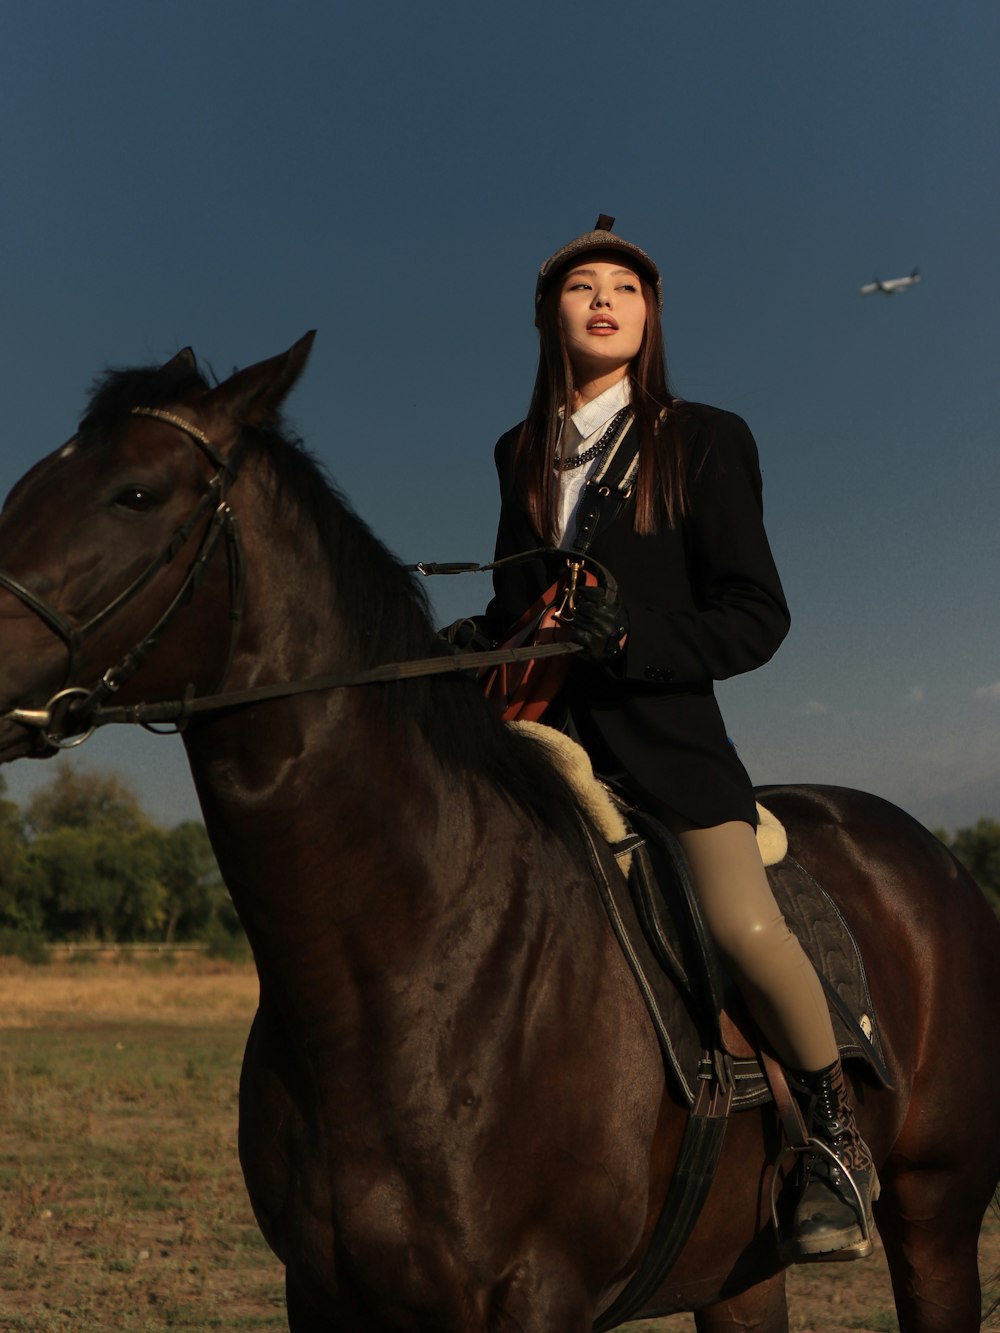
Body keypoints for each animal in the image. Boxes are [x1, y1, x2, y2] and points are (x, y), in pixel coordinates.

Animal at [1, 335, 1000, 1333]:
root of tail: (939, 863)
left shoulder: (536, 1296)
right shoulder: (318, 1293)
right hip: (740, 1274)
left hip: (937, 1218)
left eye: (136, 494)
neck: (401, 968)